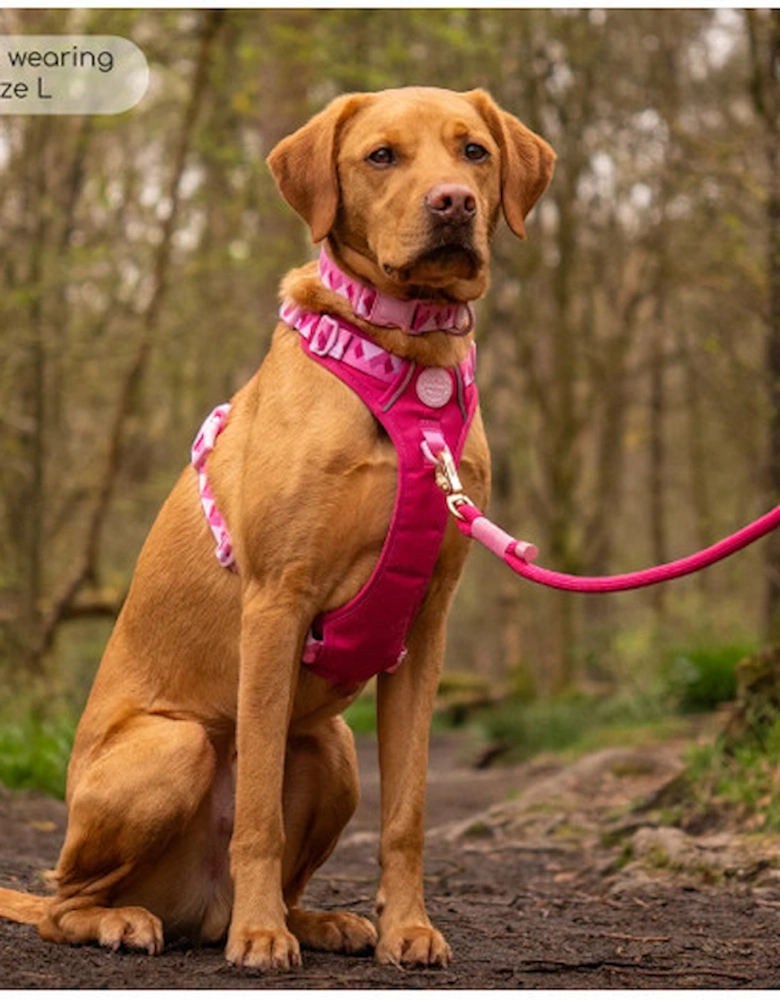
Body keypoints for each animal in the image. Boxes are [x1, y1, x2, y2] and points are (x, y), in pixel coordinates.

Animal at [0, 84, 556, 968]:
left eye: (474, 151)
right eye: (381, 156)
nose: (454, 204)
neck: (408, 359)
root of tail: (194, 904)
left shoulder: (426, 628)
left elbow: (407, 813)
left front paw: (409, 928)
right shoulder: (275, 605)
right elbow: (258, 808)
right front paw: (261, 937)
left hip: (332, 749)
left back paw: (314, 920)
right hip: (175, 748)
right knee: (64, 900)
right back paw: (143, 920)